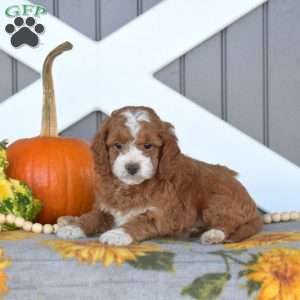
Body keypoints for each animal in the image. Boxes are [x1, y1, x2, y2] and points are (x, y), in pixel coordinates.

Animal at [56, 106, 262, 245]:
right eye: (118, 145)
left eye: (148, 146)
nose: (132, 167)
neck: (130, 187)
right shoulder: (106, 208)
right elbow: (91, 217)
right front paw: (73, 227)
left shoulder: (160, 214)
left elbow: (138, 222)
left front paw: (117, 234)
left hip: (216, 199)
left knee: (230, 222)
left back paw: (213, 234)